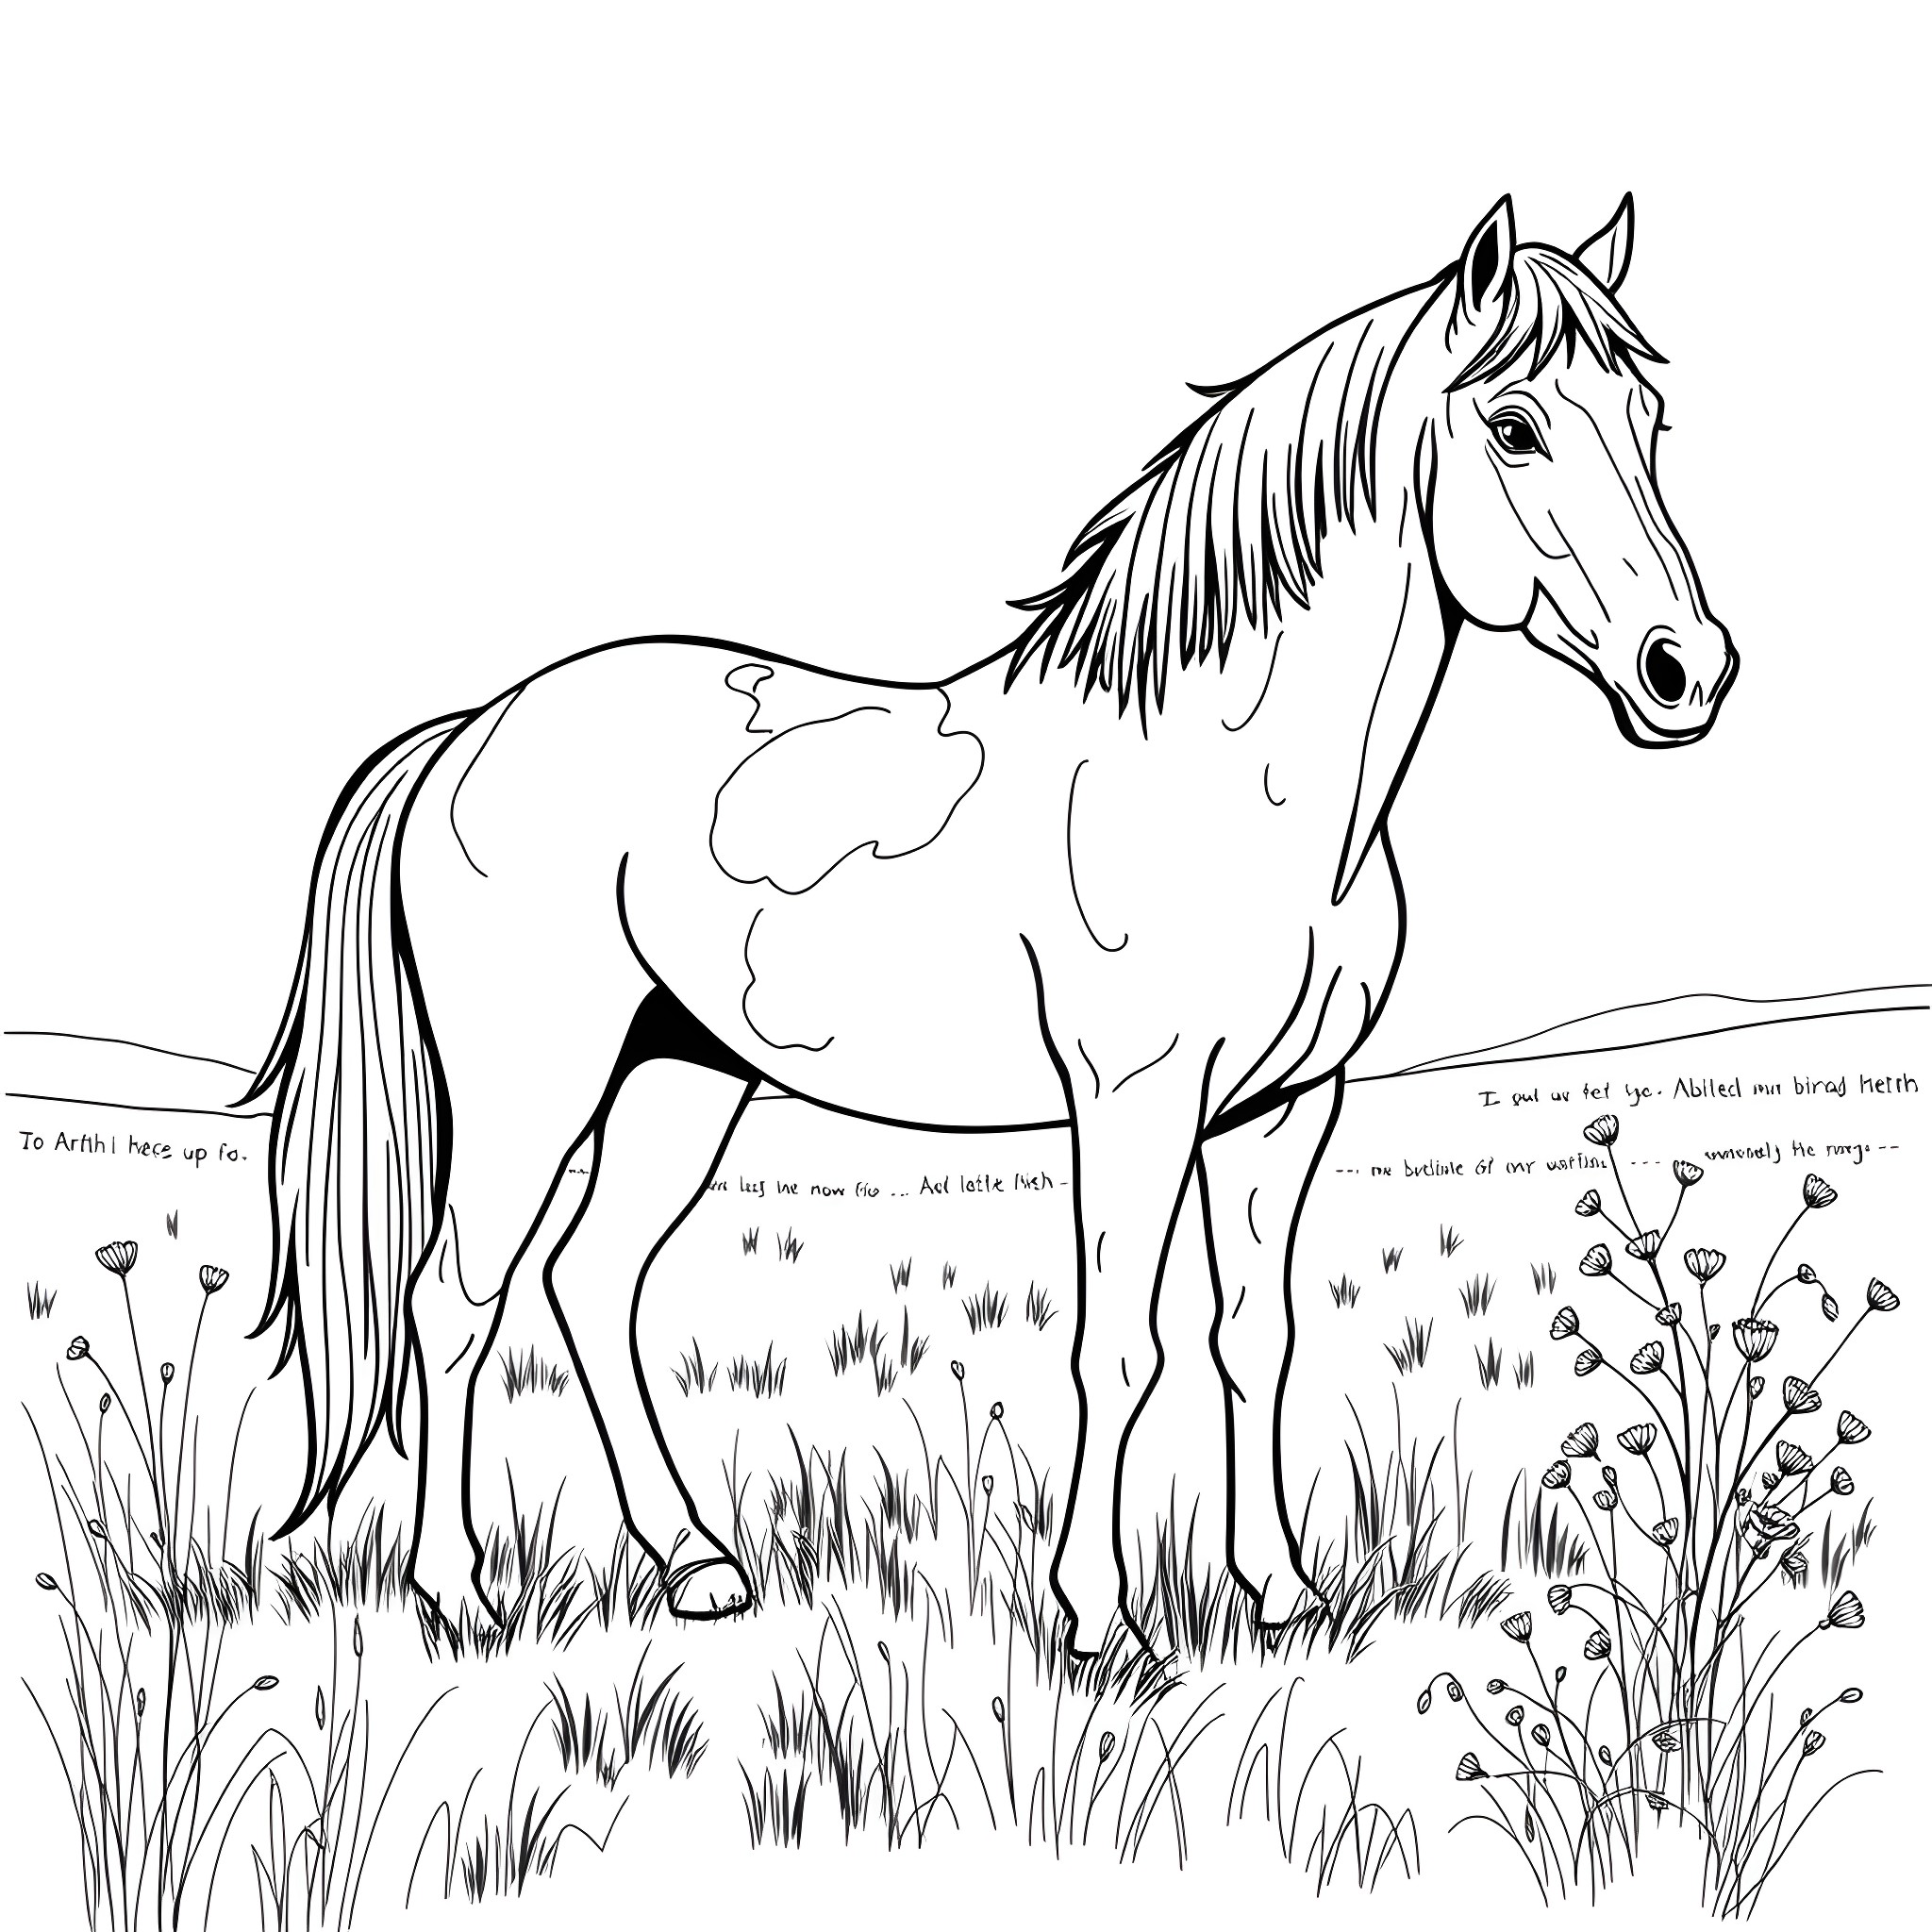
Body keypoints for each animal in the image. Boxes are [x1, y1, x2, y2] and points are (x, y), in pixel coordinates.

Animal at [246, 195, 1737, 1654]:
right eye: (1515, 425)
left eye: (1652, 422)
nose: (1687, 671)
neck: (1235, 782)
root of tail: (471, 732)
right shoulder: (1135, 1100)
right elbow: (1119, 1348)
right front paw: (1101, 1622)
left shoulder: (1281, 1110)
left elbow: (1255, 1339)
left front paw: (1286, 1595)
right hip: (533, 1087)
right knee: (455, 1302)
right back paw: (458, 1594)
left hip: (680, 1071)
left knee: (596, 1286)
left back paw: (699, 1567)